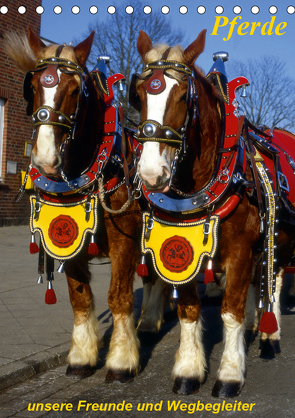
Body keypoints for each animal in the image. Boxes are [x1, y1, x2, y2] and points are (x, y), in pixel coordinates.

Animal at [4, 29, 142, 382]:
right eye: (33, 86)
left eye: (76, 90)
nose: (44, 158)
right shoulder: (69, 240)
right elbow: (79, 297)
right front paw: (81, 358)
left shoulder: (125, 240)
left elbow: (119, 297)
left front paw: (121, 361)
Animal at [132, 30, 295, 398]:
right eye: (139, 95)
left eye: (182, 97)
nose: (151, 173)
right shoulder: (182, 252)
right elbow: (189, 310)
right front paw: (189, 371)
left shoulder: (239, 253)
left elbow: (230, 312)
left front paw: (230, 375)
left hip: (280, 239)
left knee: (274, 280)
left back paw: (270, 334)